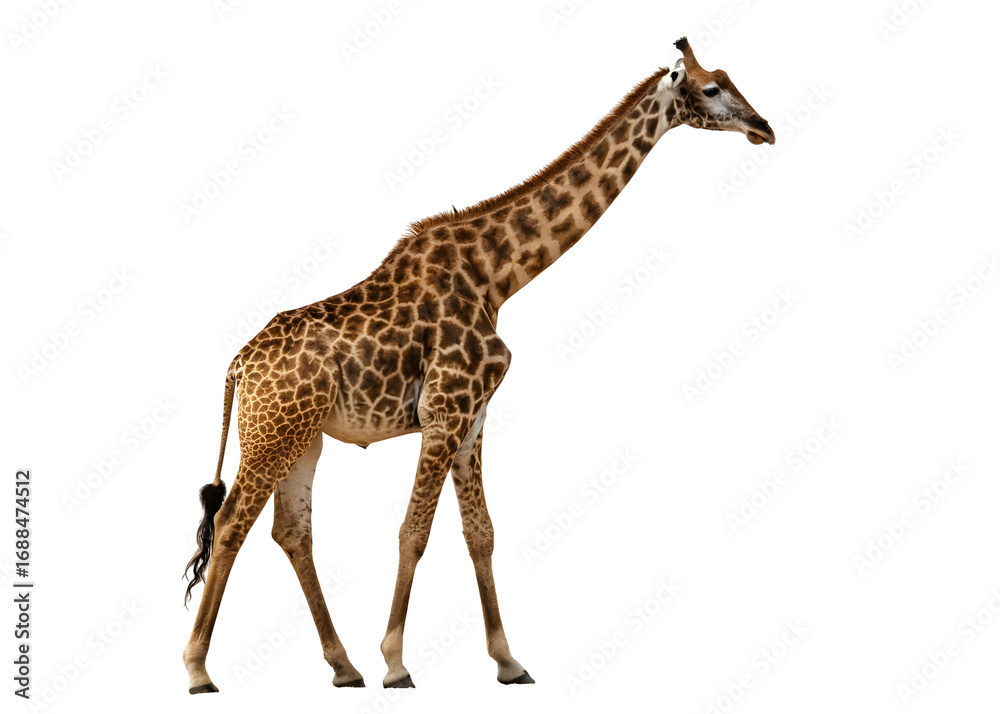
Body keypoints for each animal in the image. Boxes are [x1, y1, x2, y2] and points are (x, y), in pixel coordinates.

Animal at [182, 37, 774, 693]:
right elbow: (413, 531)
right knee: (231, 522)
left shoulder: (474, 416)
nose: (764, 128)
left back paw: (342, 667)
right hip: (271, 434)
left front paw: (508, 662)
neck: (497, 277)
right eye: (712, 87)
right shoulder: (445, 411)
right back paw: (200, 670)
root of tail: (238, 365)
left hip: (301, 437)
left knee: (290, 530)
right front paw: (396, 663)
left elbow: (480, 533)